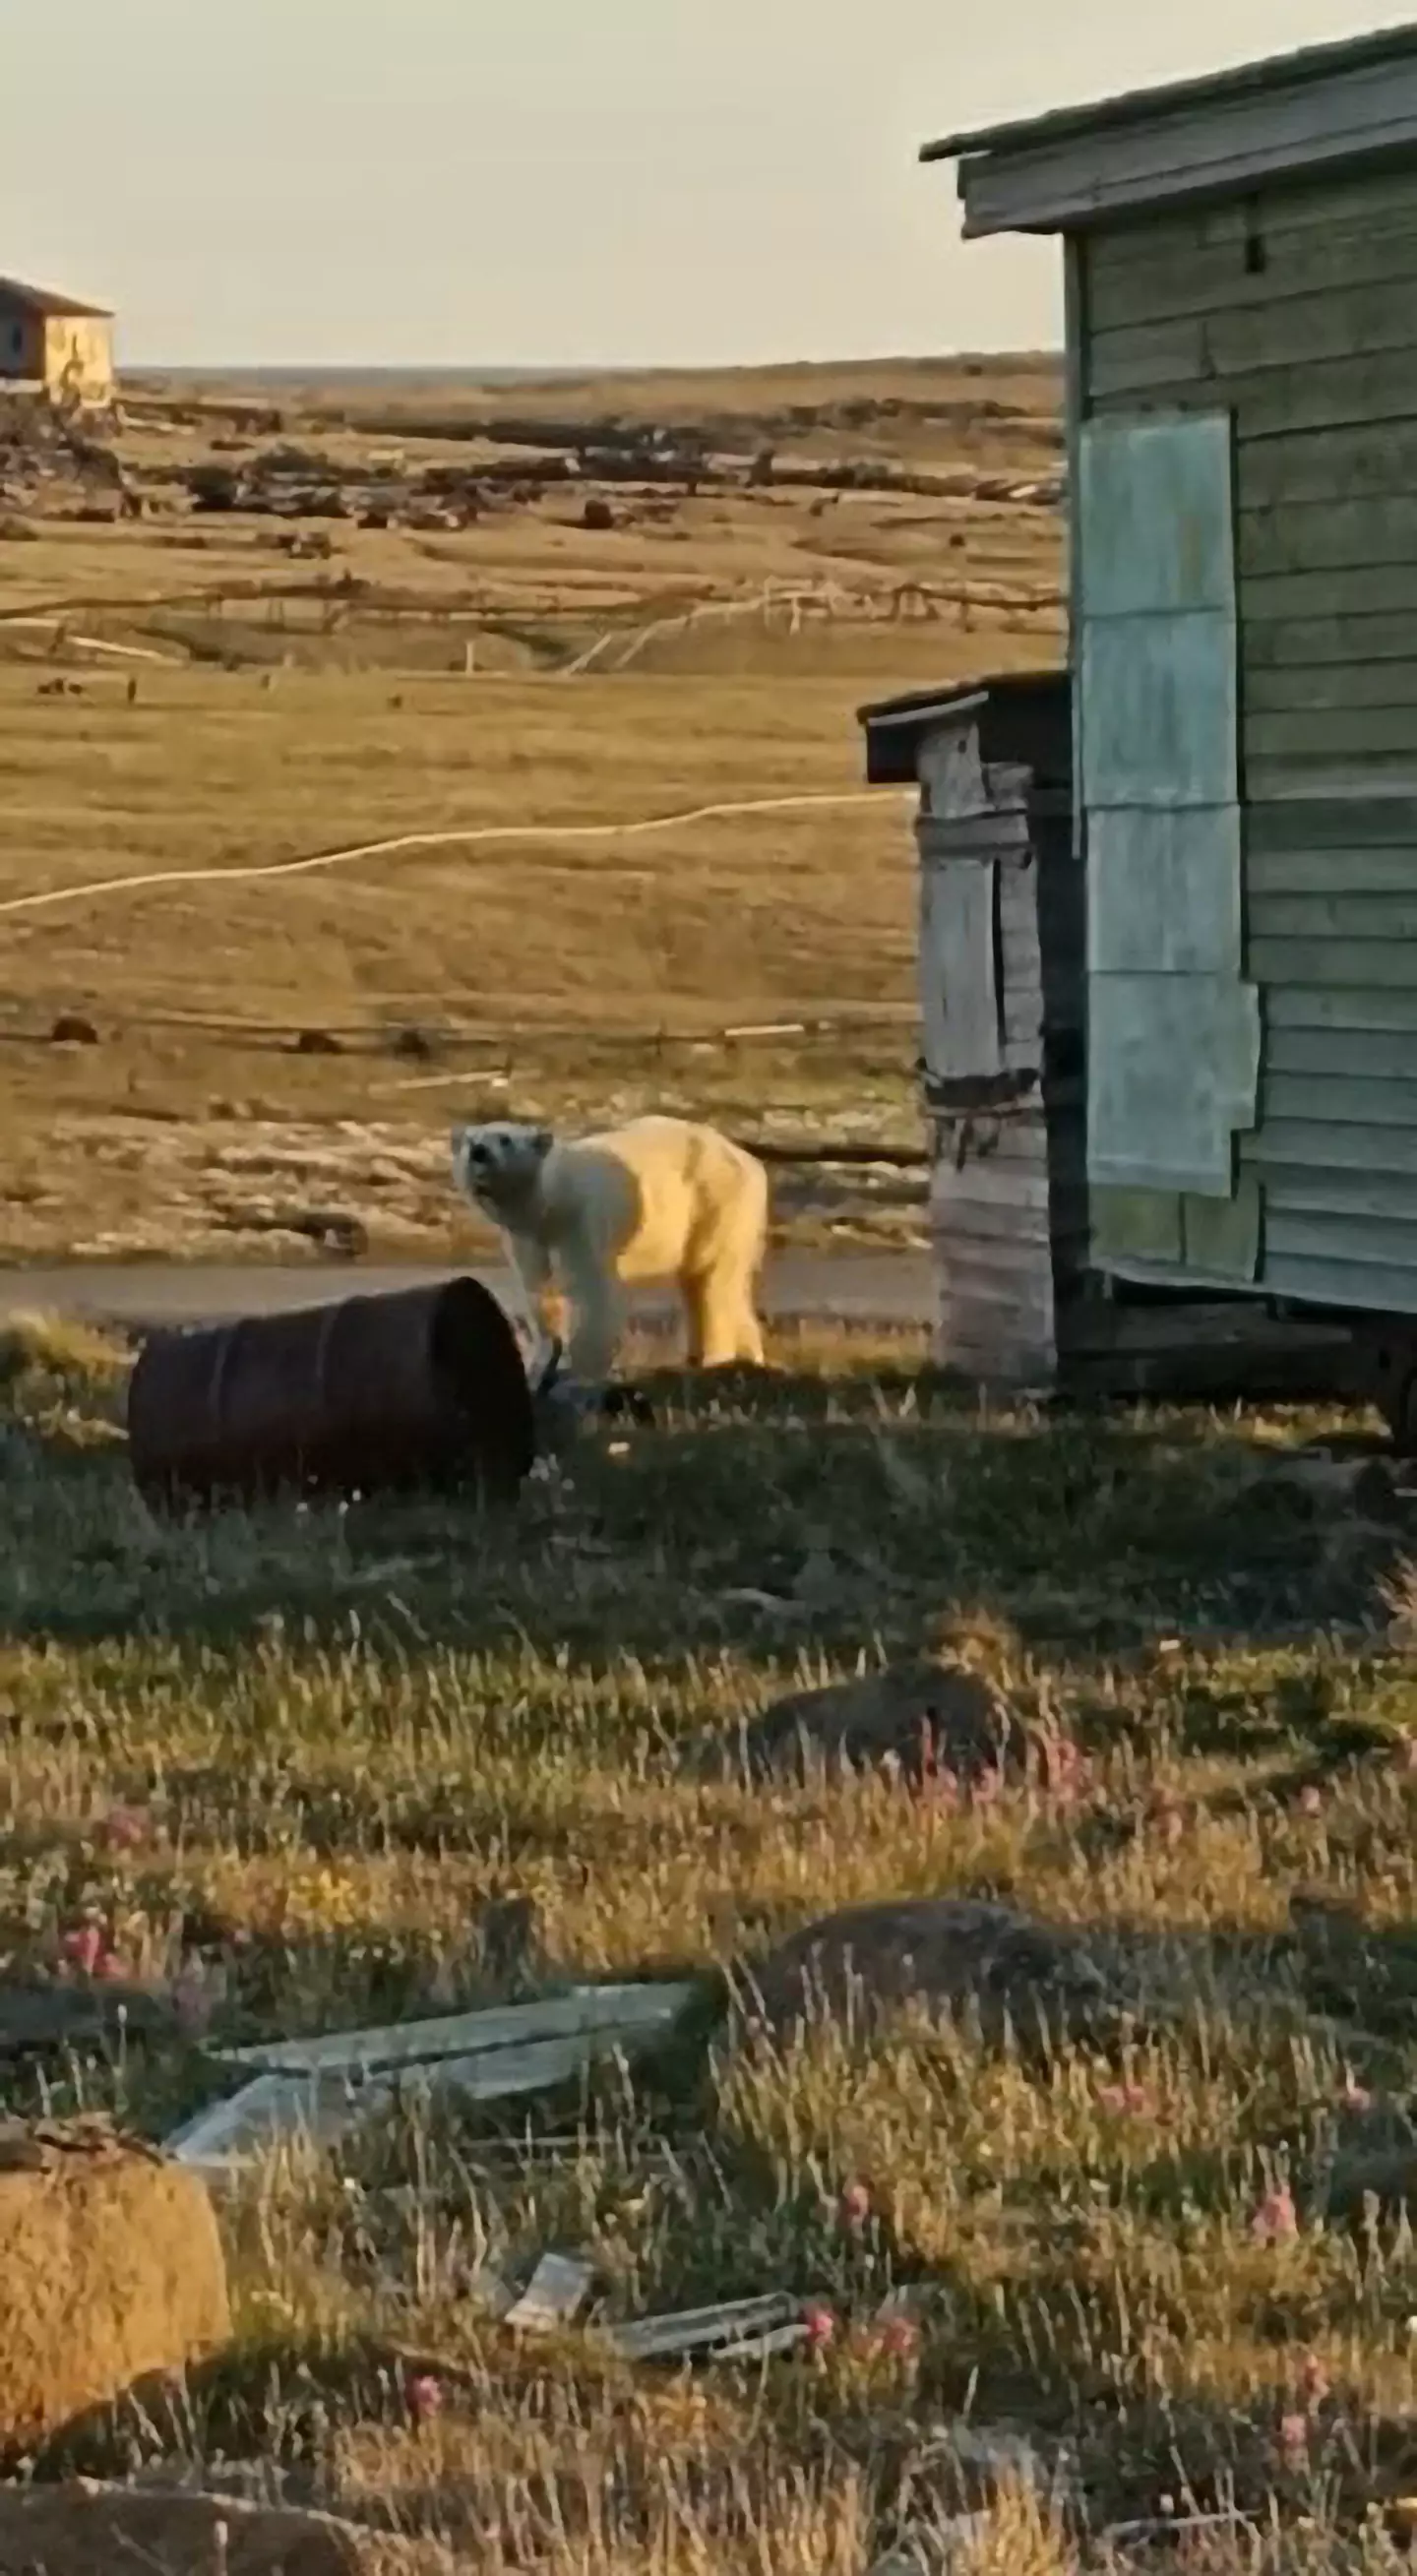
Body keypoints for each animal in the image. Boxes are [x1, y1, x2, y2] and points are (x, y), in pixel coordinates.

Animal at [453, 1112, 768, 1380]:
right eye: (471, 1139)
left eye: (505, 1139)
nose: (479, 1151)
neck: (550, 1206)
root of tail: (750, 1161)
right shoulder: (526, 1239)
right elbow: (539, 1292)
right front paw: (540, 1366)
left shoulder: (581, 1222)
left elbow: (595, 1292)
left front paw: (584, 1369)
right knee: (706, 1284)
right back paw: (743, 1356)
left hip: (715, 1202)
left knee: (712, 1280)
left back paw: (714, 1358)